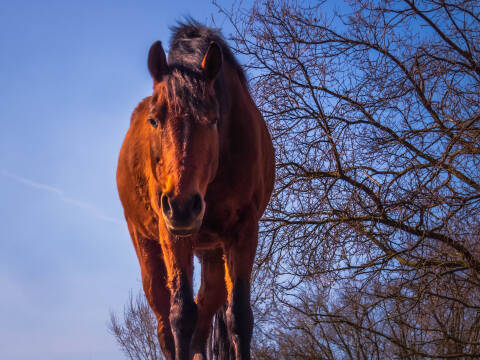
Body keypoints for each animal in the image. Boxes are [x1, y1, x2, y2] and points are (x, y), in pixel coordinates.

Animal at [116, 22, 274, 360]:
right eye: (154, 120)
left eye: (213, 119)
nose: (183, 206)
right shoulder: (172, 233)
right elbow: (181, 316)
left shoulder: (244, 231)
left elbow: (239, 317)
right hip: (148, 248)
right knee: (166, 323)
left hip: (213, 256)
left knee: (203, 320)